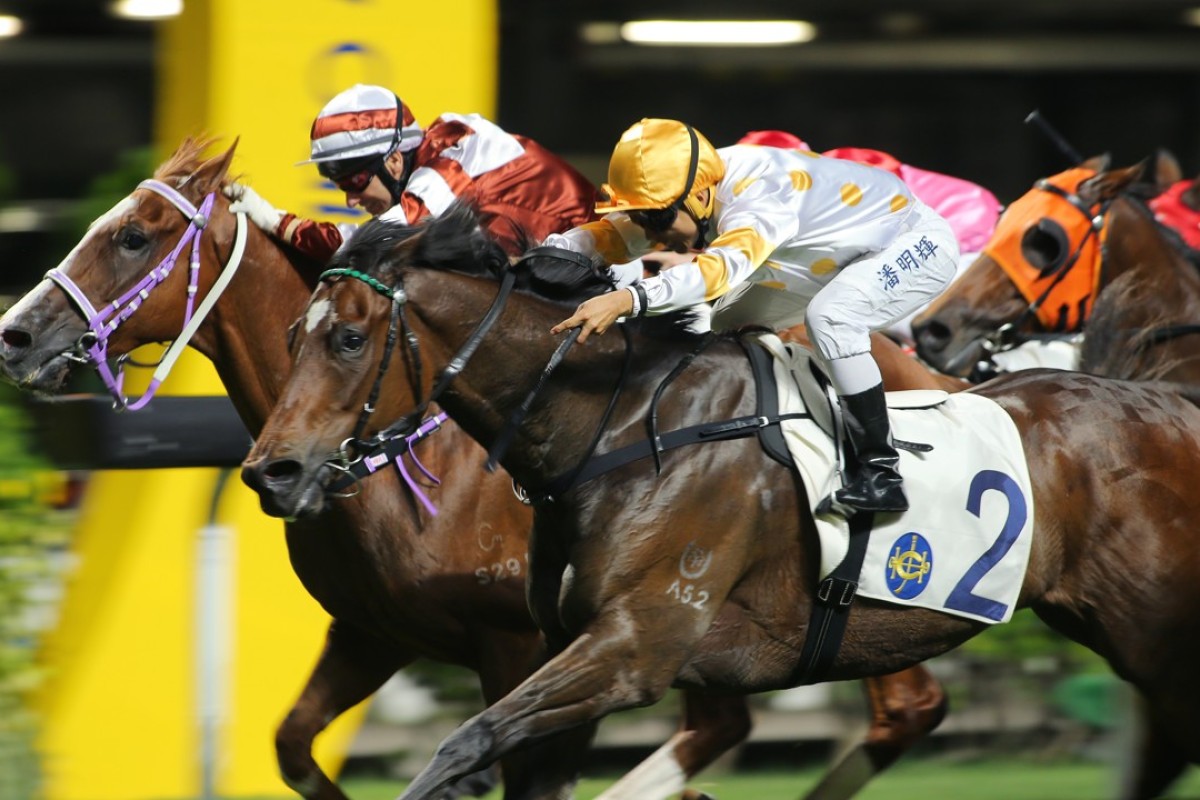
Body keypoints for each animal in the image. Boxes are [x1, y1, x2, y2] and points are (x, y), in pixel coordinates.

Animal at [0, 140, 945, 800]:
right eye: (303, 335)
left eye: (132, 236)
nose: (16, 332)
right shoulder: (372, 632)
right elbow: (294, 747)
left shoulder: (524, 637)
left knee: (883, 708)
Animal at [243, 206, 1200, 800]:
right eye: (290, 333)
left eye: (349, 337)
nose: (271, 472)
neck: (617, 423)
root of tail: (1171, 402)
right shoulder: (559, 648)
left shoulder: (634, 647)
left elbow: (462, 743)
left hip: (1156, 638)